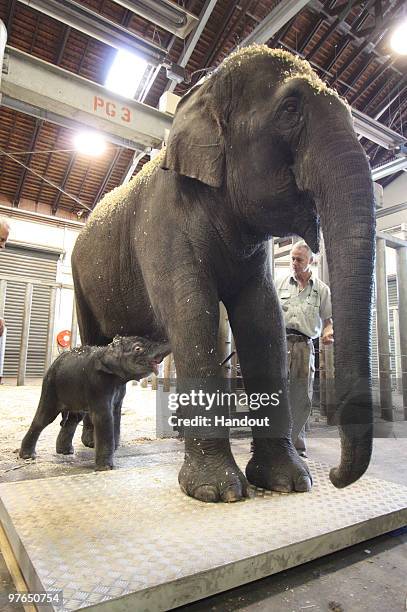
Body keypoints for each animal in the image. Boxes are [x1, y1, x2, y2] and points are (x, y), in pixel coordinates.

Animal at [19, 338, 171, 470]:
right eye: (138, 348)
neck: (107, 350)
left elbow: (116, 414)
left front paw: (114, 450)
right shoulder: (98, 384)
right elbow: (104, 417)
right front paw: (106, 468)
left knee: (74, 419)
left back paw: (65, 452)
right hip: (51, 387)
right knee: (44, 418)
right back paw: (27, 456)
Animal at [70, 44, 376, 502]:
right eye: (290, 109)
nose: (338, 477)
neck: (205, 91)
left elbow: (263, 321)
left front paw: (288, 482)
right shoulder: (163, 221)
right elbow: (193, 314)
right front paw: (217, 492)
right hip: (79, 278)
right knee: (95, 342)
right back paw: (93, 444)